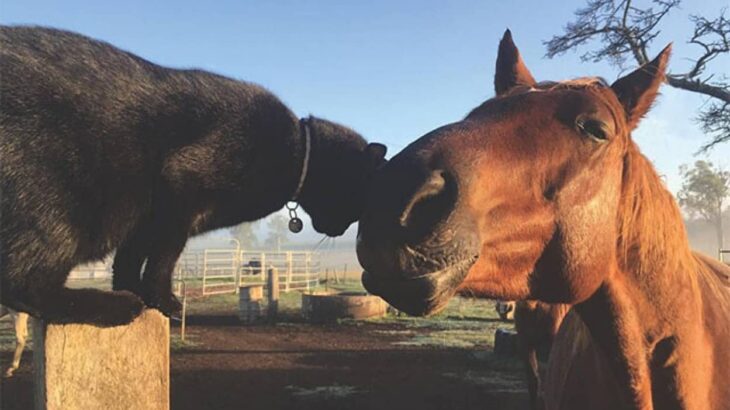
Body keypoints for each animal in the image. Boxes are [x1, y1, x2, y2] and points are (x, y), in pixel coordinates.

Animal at [0, 26, 386, 326]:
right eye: (358, 205)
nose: (340, 230)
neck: (296, 148)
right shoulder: (180, 192)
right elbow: (163, 258)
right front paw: (161, 301)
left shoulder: (148, 218)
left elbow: (130, 259)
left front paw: (137, 292)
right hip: (57, 205)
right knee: (22, 281)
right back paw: (114, 306)